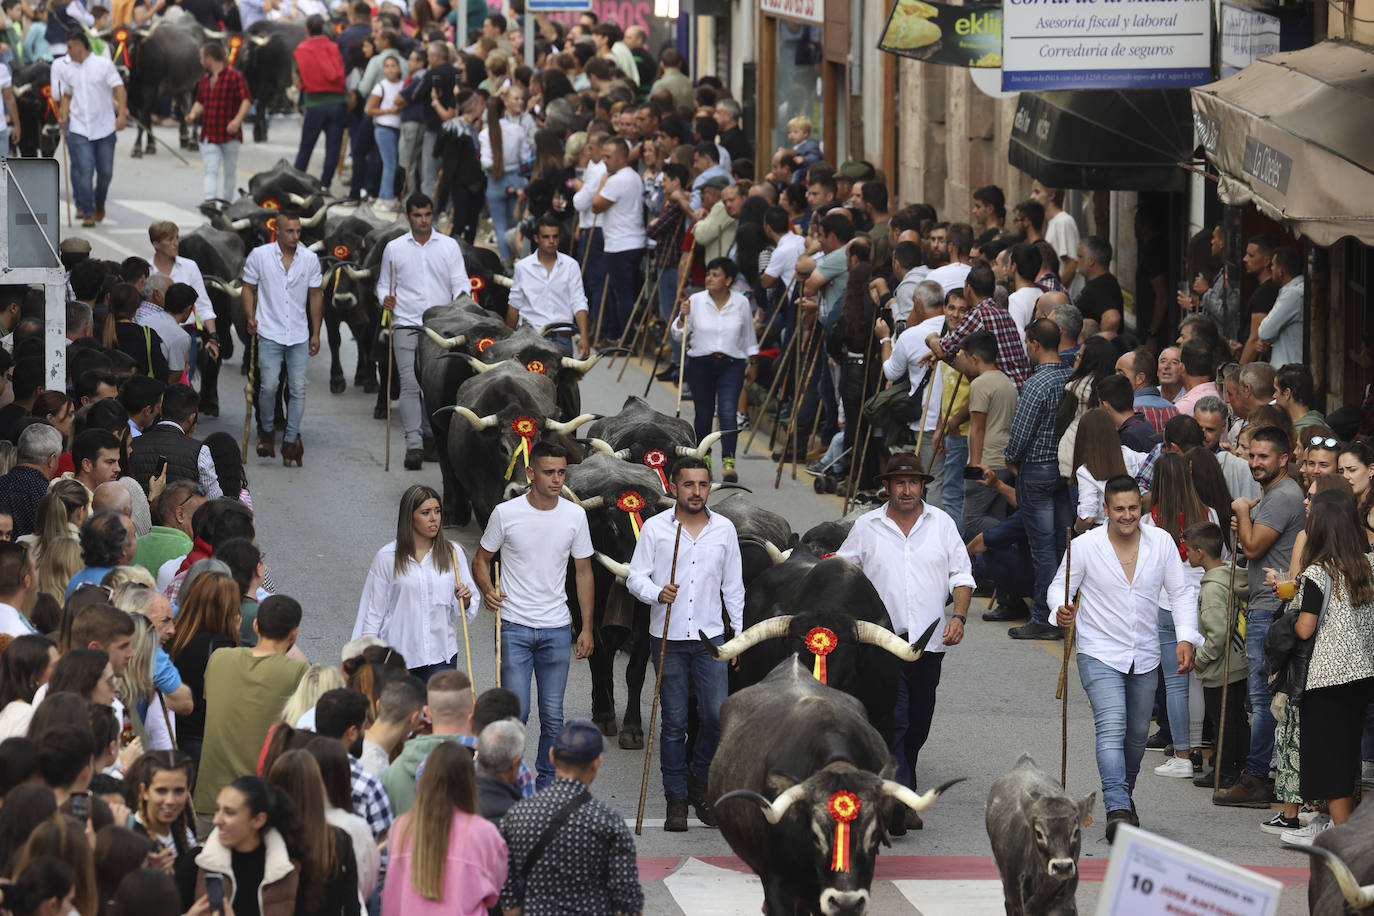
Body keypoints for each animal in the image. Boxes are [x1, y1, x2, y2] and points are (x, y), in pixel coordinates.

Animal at [989, 758, 1093, 911]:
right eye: (1038, 833)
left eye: (1076, 831)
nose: (1062, 867)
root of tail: (1025, 761)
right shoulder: (1014, 899)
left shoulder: (1067, 903)